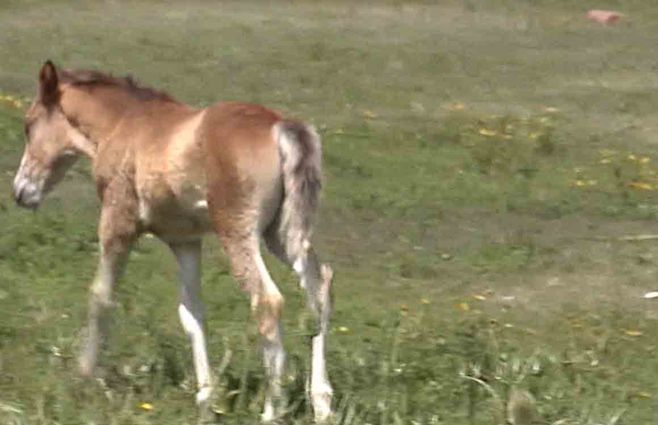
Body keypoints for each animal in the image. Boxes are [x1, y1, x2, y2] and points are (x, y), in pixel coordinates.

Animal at [11, 61, 334, 423]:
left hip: (237, 231)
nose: (20, 192)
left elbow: (101, 296)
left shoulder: (117, 221)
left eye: (28, 125)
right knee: (319, 290)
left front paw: (83, 375)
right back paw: (322, 403)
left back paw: (271, 411)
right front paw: (206, 399)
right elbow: (192, 314)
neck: (122, 124)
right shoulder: (185, 241)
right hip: (283, 234)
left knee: (267, 301)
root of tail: (281, 126)